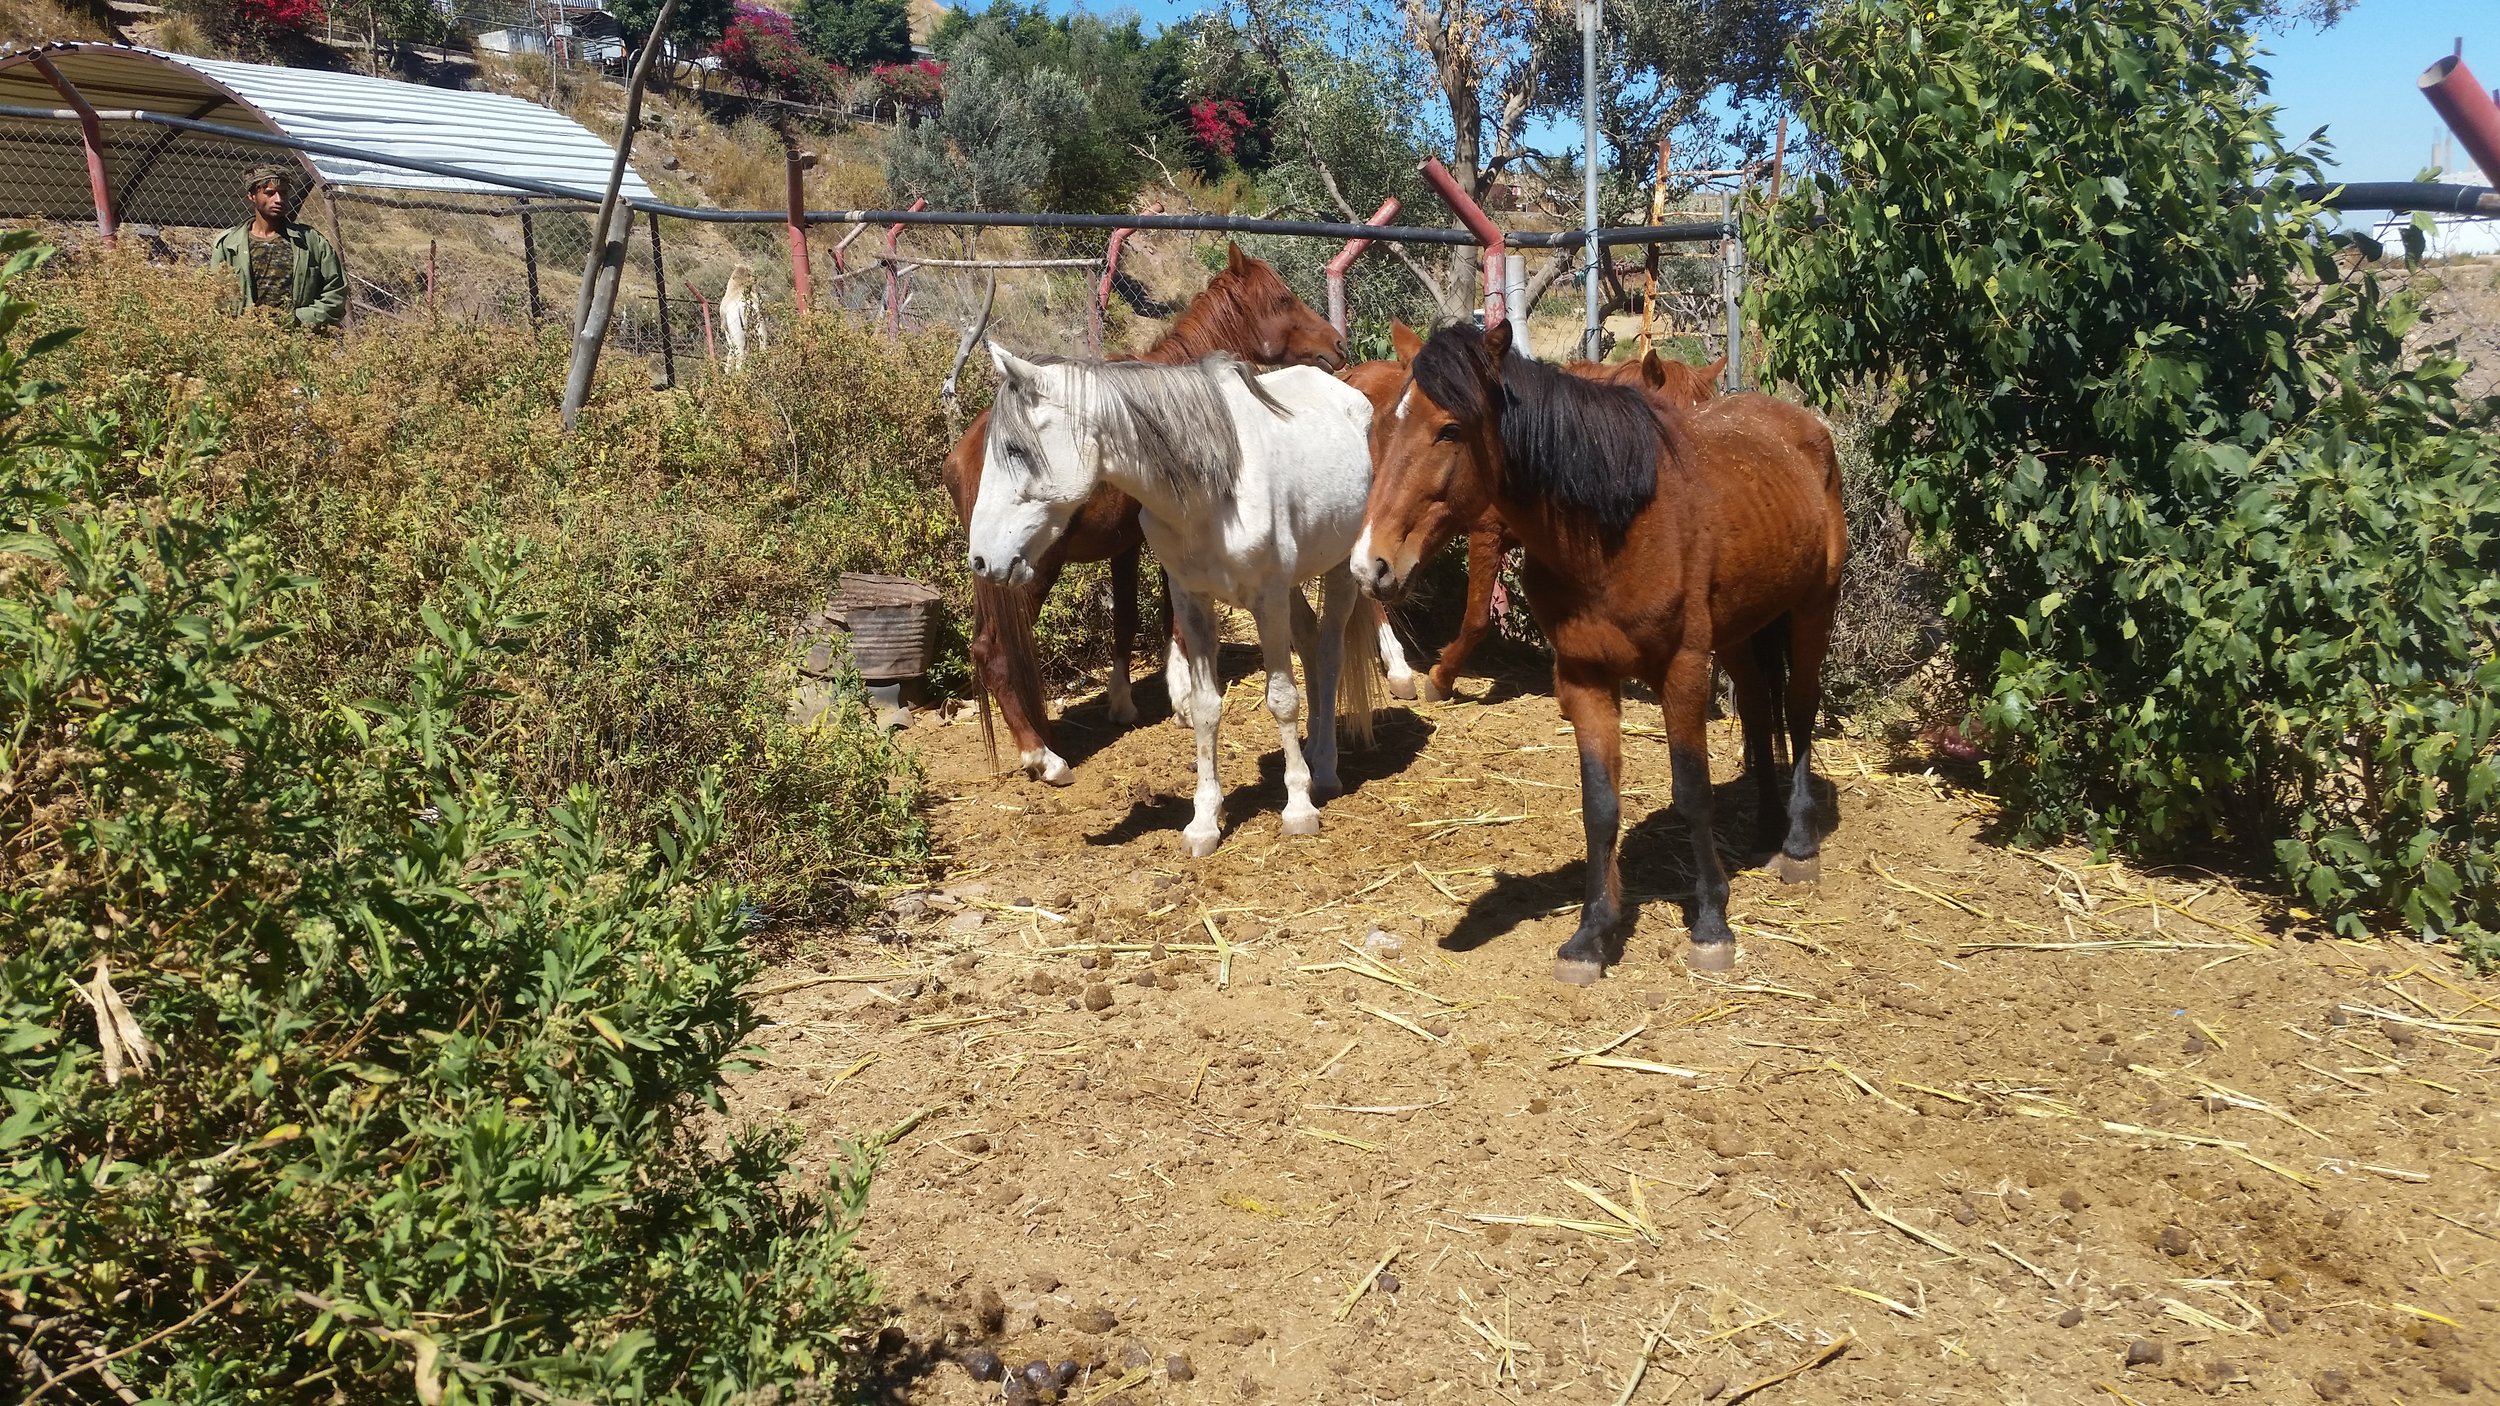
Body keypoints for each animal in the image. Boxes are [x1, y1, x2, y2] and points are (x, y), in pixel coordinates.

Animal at [940, 245, 1350, 780]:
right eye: (1282, 299)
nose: (1338, 344)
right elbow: (1173, 618)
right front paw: (1183, 697)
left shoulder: (1127, 546)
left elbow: (1128, 619)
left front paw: (1123, 701)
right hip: (1025, 572)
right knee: (994, 650)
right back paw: (1040, 754)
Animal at [960, 347, 1390, 855]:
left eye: (1015, 450)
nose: (981, 559)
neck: (1212, 492)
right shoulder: (1193, 601)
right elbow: (1205, 708)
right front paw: (1204, 822)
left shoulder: (1266, 601)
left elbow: (1282, 699)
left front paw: (1298, 810)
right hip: (1291, 586)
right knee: (1308, 642)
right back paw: (1309, 754)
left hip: (1338, 570)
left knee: (1328, 652)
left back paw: (1323, 768)